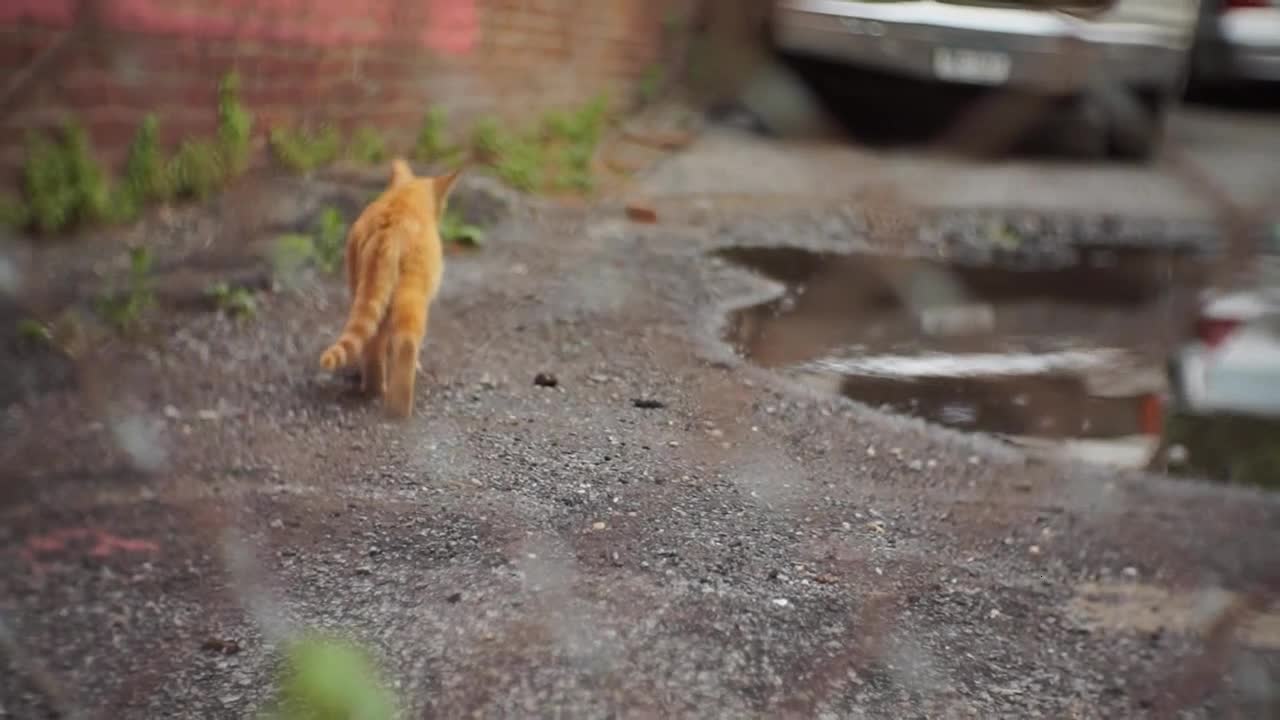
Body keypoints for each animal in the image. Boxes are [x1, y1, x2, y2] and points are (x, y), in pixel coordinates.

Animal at [320, 156, 465, 415]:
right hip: (412, 294)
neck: (405, 195)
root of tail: (388, 230)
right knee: (406, 341)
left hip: (362, 285)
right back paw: (399, 407)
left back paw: (373, 389)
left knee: (372, 341)